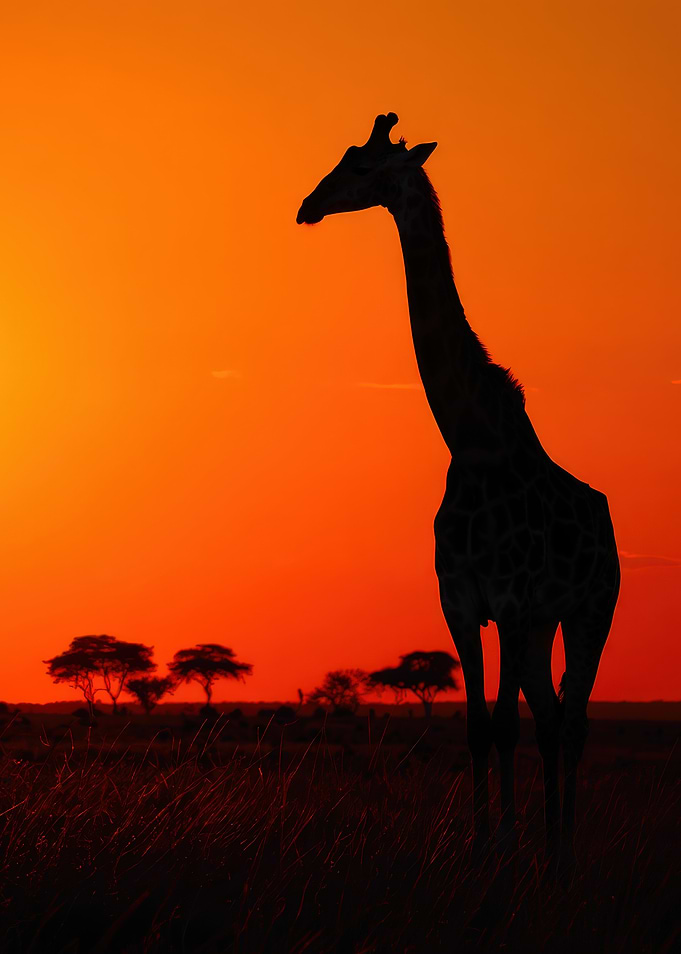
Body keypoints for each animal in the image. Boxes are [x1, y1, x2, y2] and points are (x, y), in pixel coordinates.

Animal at [296, 113, 620, 872]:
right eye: (342, 158)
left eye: (361, 167)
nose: (307, 207)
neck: (470, 440)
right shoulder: (461, 601)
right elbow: (478, 727)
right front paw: (481, 848)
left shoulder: (509, 600)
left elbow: (502, 727)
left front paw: (502, 849)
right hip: (543, 624)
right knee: (550, 715)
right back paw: (550, 848)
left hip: (591, 610)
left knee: (574, 722)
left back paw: (564, 853)